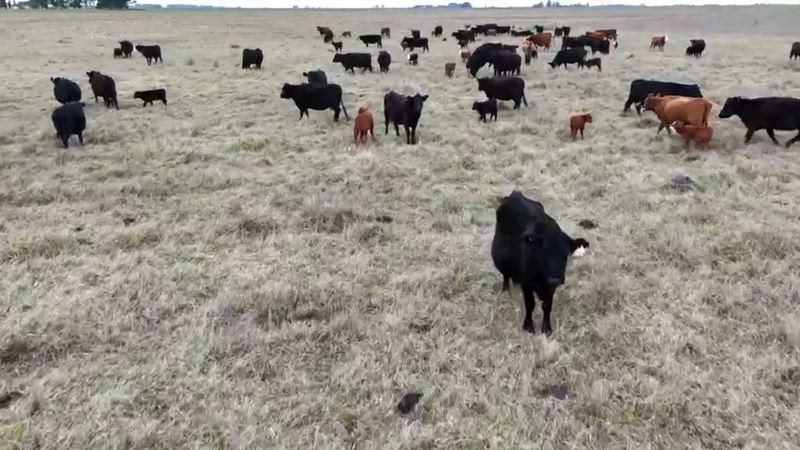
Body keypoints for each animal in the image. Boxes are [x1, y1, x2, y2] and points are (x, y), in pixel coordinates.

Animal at [491, 190, 589, 335]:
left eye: (566, 253)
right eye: (543, 252)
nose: (555, 279)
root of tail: (516, 194)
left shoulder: (551, 288)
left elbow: (547, 306)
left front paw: (547, 328)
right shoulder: (526, 283)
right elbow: (530, 304)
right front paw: (528, 326)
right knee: (506, 275)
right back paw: (506, 291)